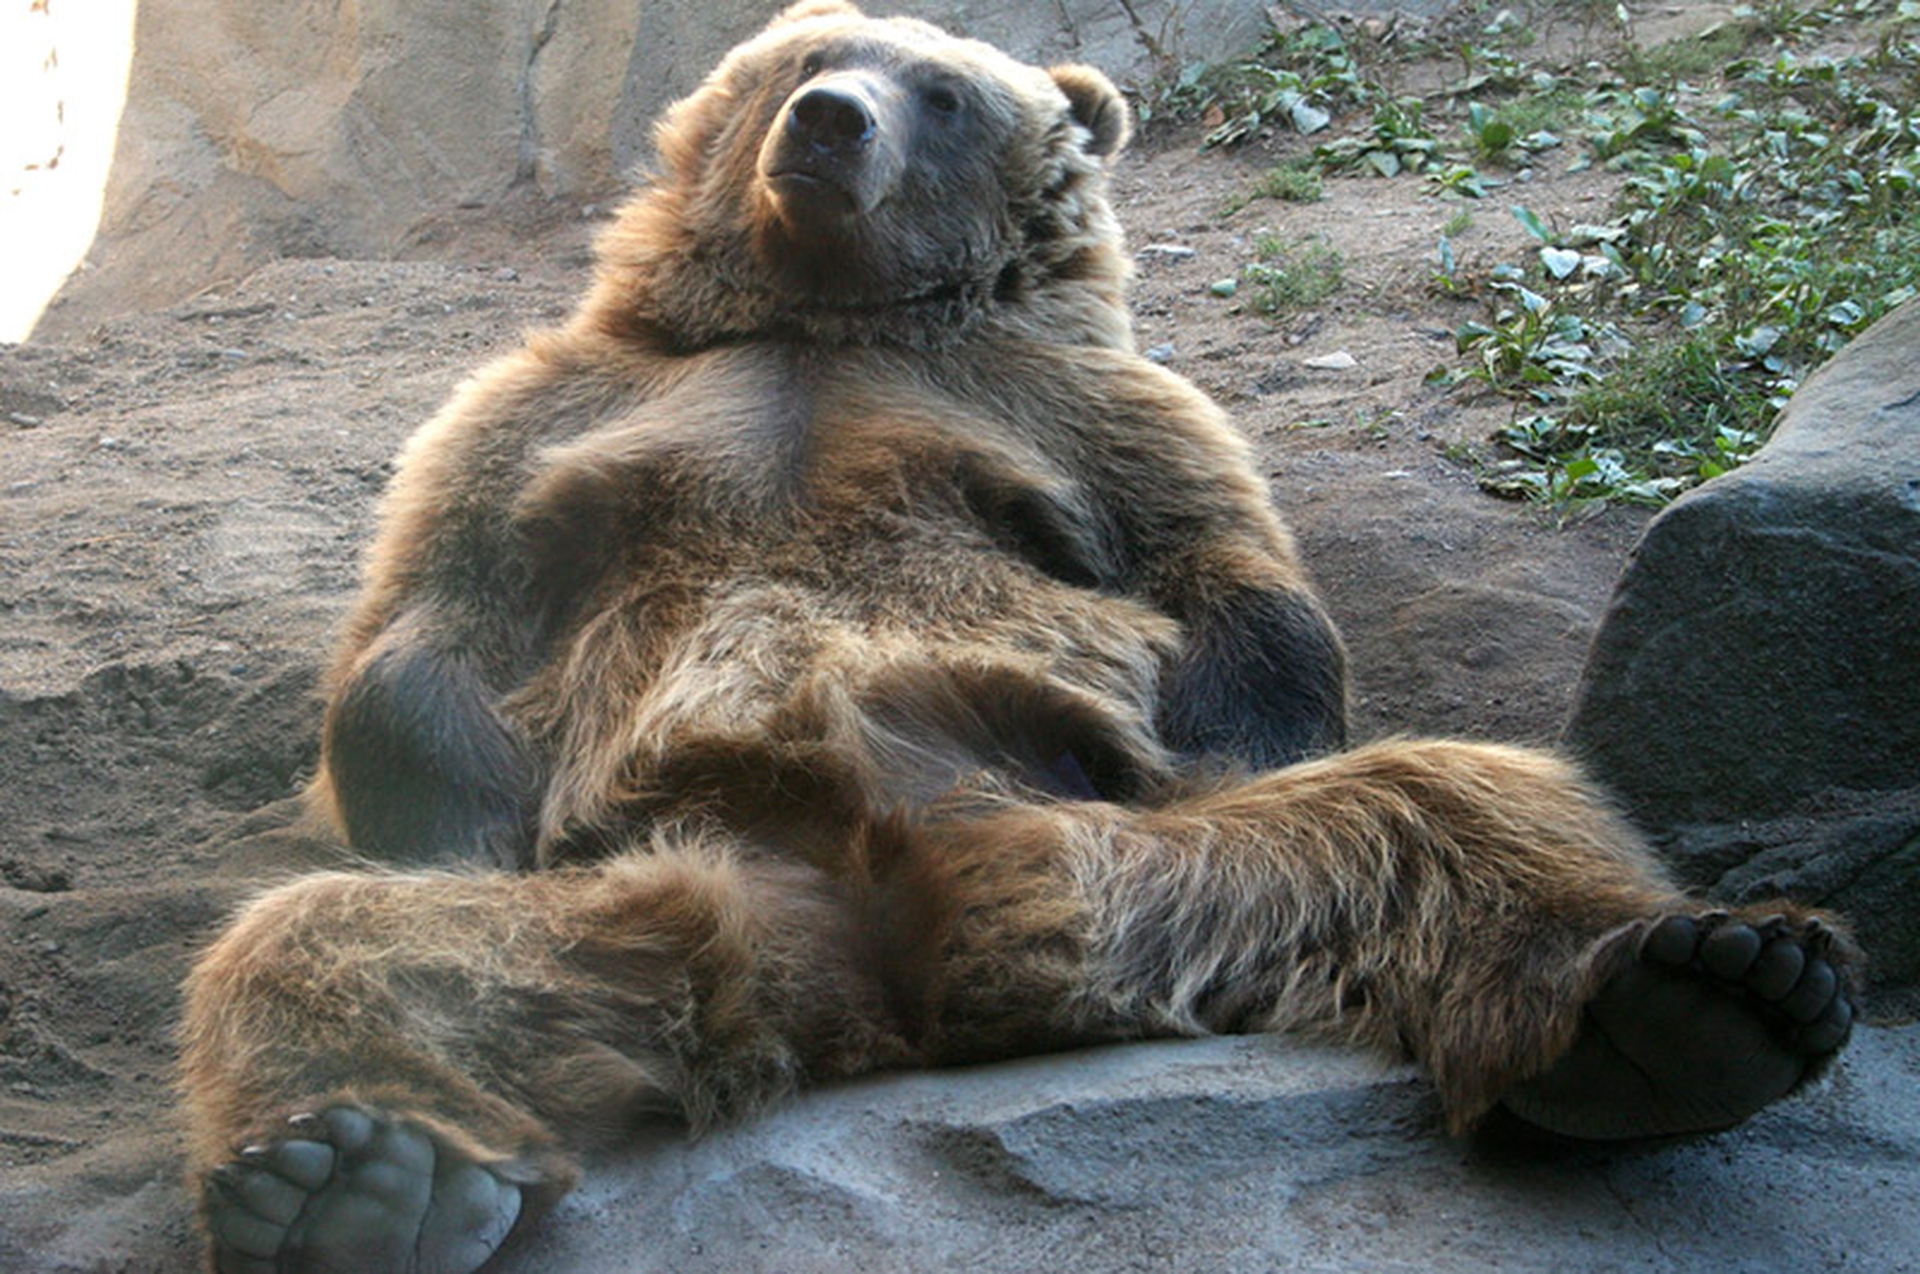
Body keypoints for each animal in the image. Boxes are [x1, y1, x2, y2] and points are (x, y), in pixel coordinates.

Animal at [179, 4, 1858, 1270]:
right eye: (806, 59)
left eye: (938, 89)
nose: (831, 124)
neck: (828, 315)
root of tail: (907, 963)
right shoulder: (562, 405)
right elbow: (435, 609)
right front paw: (446, 811)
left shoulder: (1081, 409)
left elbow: (1227, 574)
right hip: (674, 882)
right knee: (333, 951)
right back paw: (358, 1176)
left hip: (1146, 847)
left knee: (1457, 806)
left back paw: (1698, 998)